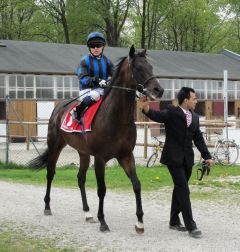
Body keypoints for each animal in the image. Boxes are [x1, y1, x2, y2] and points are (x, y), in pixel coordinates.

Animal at [29, 45, 164, 234]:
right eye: (138, 68)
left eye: (151, 67)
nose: (159, 90)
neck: (116, 118)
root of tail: (59, 107)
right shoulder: (100, 158)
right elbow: (102, 189)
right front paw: (103, 221)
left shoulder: (125, 155)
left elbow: (136, 184)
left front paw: (139, 222)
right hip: (55, 145)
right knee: (50, 173)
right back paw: (47, 207)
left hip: (83, 152)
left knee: (80, 178)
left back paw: (87, 213)